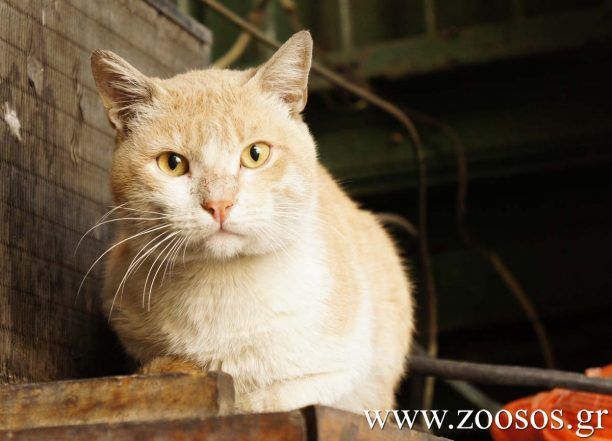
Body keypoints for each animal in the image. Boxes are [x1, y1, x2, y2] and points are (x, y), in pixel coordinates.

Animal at [89, 31, 416, 412]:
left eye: (255, 154)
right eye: (172, 163)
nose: (219, 204)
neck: (221, 289)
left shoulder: (337, 378)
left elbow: (271, 401)